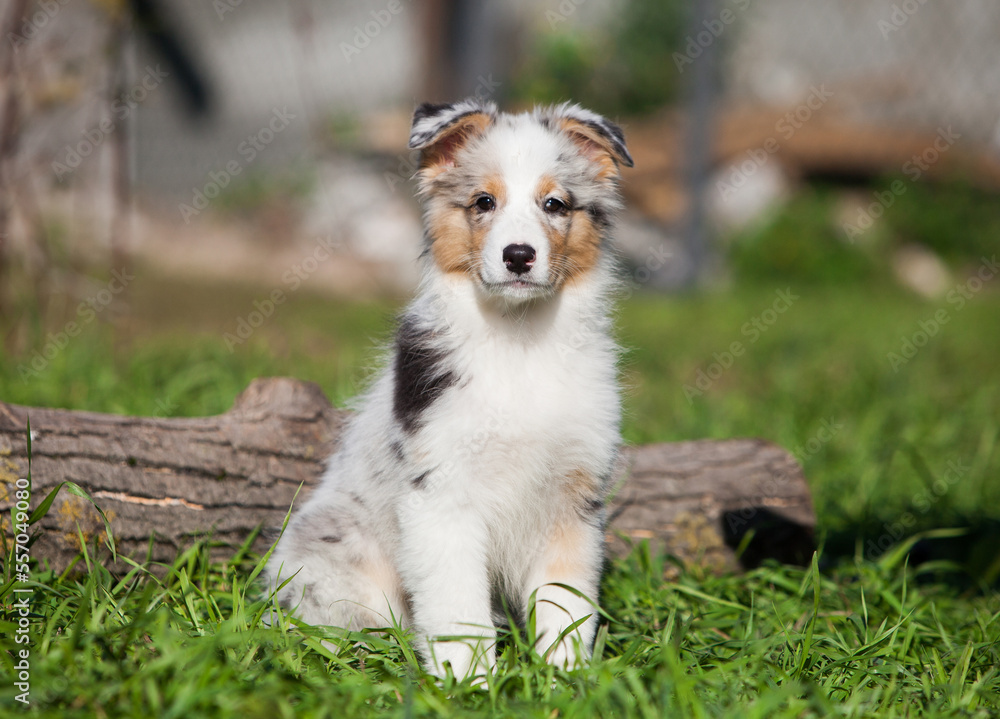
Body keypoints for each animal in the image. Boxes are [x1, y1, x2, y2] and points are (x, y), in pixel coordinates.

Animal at [268, 97, 632, 680]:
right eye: (483, 201)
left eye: (554, 204)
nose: (518, 255)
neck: (517, 342)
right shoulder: (442, 496)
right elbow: (458, 607)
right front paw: (469, 681)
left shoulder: (572, 498)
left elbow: (566, 602)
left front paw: (565, 677)